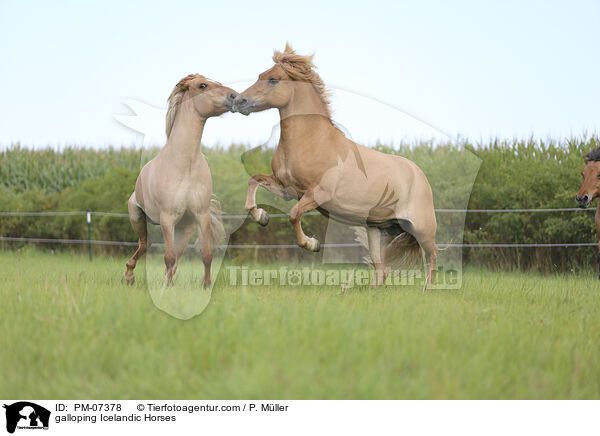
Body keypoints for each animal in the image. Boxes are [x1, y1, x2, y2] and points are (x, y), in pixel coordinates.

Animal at [122, 74, 237, 286]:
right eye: (203, 85)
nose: (235, 96)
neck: (185, 165)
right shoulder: (167, 218)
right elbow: (168, 257)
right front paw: (167, 288)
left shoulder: (201, 216)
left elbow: (206, 255)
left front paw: (206, 285)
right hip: (137, 216)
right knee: (145, 244)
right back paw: (129, 275)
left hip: (184, 229)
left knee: (173, 255)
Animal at [233, 44, 436, 286]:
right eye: (260, 75)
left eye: (273, 79)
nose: (239, 101)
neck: (312, 140)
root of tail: (419, 174)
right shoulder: (286, 189)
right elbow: (253, 180)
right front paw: (261, 216)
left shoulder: (317, 194)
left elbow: (293, 214)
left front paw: (312, 244)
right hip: (377, 230)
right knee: (381, 269)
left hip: (422, 228)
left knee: (431, 258)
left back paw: (428, 290)